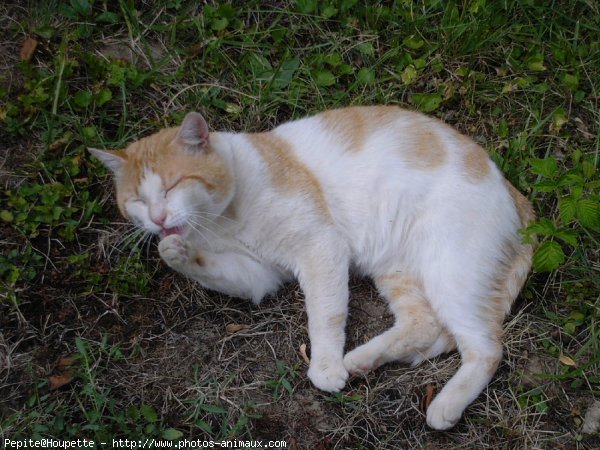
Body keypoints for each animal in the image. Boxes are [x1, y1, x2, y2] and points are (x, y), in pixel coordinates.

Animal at [89, 104, 536, 428]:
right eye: (137, 201)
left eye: (172, 186)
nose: (159, 219)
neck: (221, 220)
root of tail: (510, 187)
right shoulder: (256, 277)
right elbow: (211, 268)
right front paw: (173, 251)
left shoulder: (320, 246)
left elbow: (325, 314)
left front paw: (324, 366)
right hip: (398, 272)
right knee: (425, 324)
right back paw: (363, 360)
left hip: (450, 273)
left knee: (487, 347)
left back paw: (444, 405)